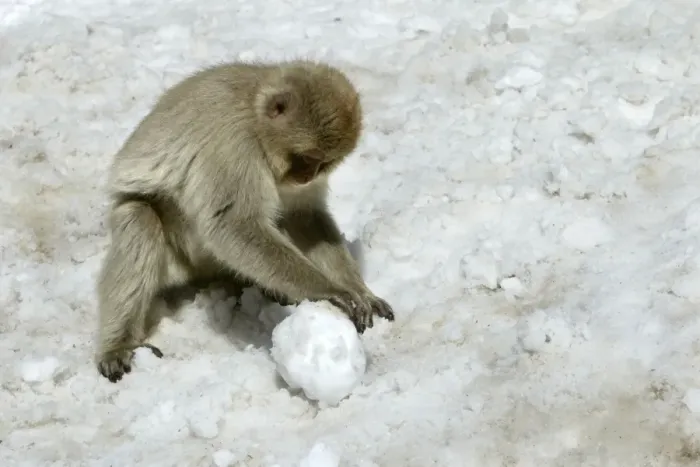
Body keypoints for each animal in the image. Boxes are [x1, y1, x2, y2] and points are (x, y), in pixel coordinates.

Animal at [95, 59, 395, 382]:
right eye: (305, 157)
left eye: (323, 163)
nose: (306, 176)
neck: (255, 111)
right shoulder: (233, 142)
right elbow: (231, 224)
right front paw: (331, 291)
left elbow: (303, 216)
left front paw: (359, 290)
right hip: (177, 260)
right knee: (140, 218)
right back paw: (117, 344)